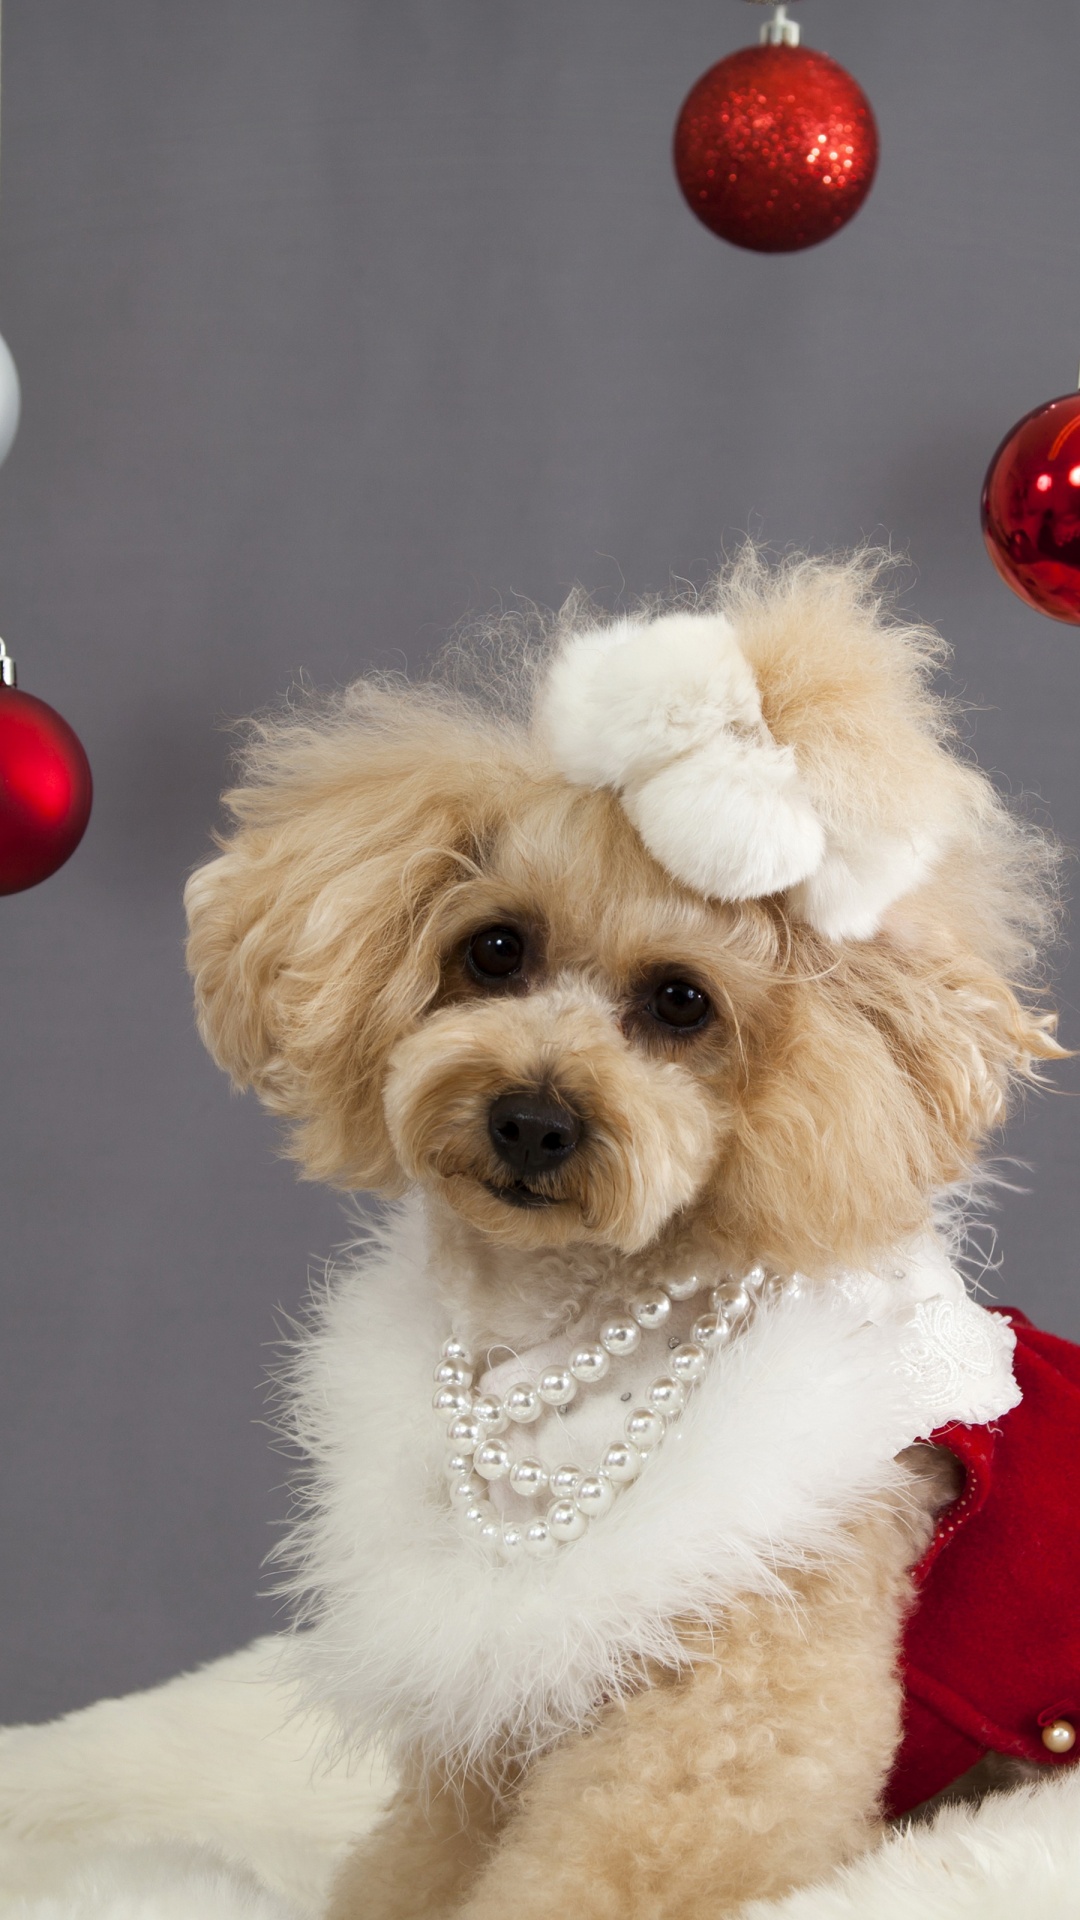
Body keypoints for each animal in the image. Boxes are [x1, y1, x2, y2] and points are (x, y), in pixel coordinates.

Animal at [184, 549, 1060, 1912]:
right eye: (496, 949)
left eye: (681, 1003)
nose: (533, 1120)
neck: (570, 1333)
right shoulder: (498, 1706)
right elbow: (421, 1858)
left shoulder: (730, 1706)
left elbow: (615, 1859)